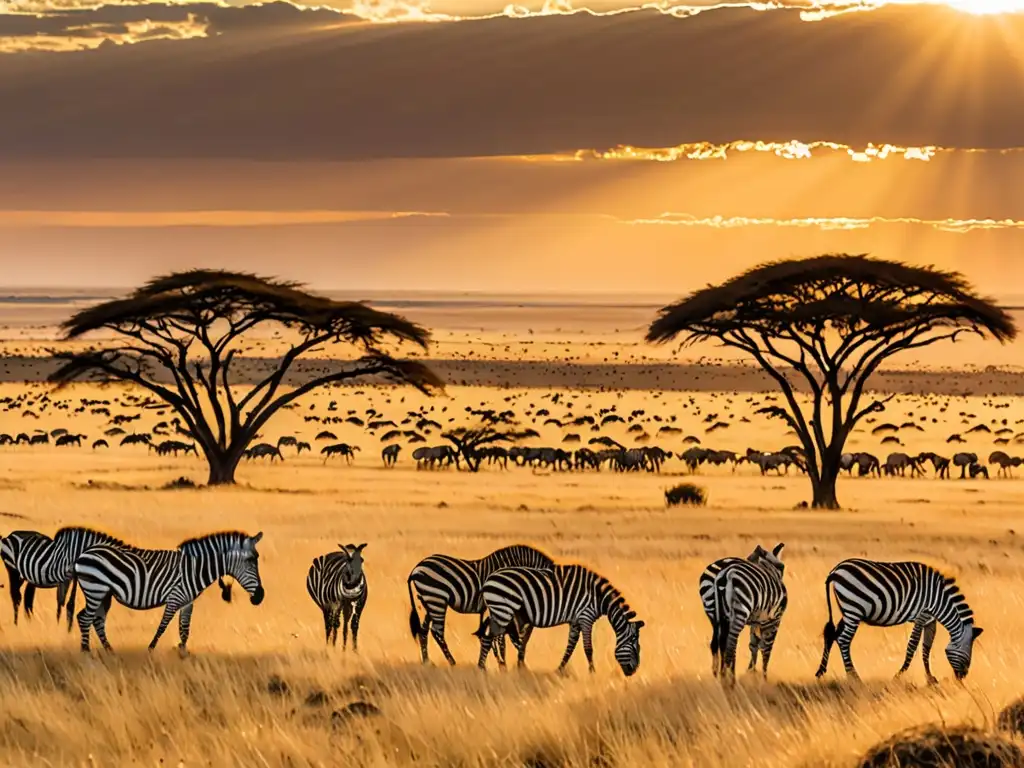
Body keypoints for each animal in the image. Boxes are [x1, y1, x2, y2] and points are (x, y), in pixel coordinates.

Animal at [74, 536, 266, 655]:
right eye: (251, 561)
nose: (260, 597)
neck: (195, 569)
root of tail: (84, 553)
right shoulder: (175, 598)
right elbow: (163, 626)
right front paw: (150, 649)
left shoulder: (187, 602)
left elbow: (184, 629)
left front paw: (183, 653)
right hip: (95, 589)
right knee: (85, 618)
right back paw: (86, 652)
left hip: (103, 594)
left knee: (96, 620)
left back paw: (109, 651)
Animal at [405, 544, 557, 663]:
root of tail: (417, 567)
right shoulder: (501, 606)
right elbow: (500, 638)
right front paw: (502, 662)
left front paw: (499, 661)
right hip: (437, 598)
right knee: (437, 632)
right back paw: (452, 662)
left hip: (427, 602)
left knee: (423, 631)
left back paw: (427, 661)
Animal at [475, 561, 643, 675]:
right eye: (634, 644)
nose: (633, 671)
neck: (599, 597)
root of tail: (488, 579)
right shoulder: (585, 617)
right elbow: (588, 648)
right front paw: (592, 672)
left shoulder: (575, 621)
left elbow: (570, 647)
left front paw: (560, 669)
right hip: (503, 609)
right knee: (489, 638)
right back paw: (482, 668)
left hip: (500, 611)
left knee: (492, 638)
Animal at [700, 544, 786, 675]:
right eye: (782, 567)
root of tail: (722, 574)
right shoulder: (773, 620)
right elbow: (766, 648)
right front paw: (763, 676)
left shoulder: (756, 621)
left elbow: (754, 644)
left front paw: (752, 672)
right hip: (740, 612)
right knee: (731, 646)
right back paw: (730, 678)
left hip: (713, 612)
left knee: (717, 644)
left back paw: (720, 675)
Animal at [815, 561, 983, 684]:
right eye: (967, 653)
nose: (962, 678)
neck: (940, 601)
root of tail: (836, 570)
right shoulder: (922, 615)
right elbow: (913, 646)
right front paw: (899, 675)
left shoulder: (930, 620)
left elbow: (926, 648)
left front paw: (930, 678)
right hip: (853, 608)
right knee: (843, 639)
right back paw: (854, 677)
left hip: (848, 611)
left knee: (831, 634)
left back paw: (821, 672)